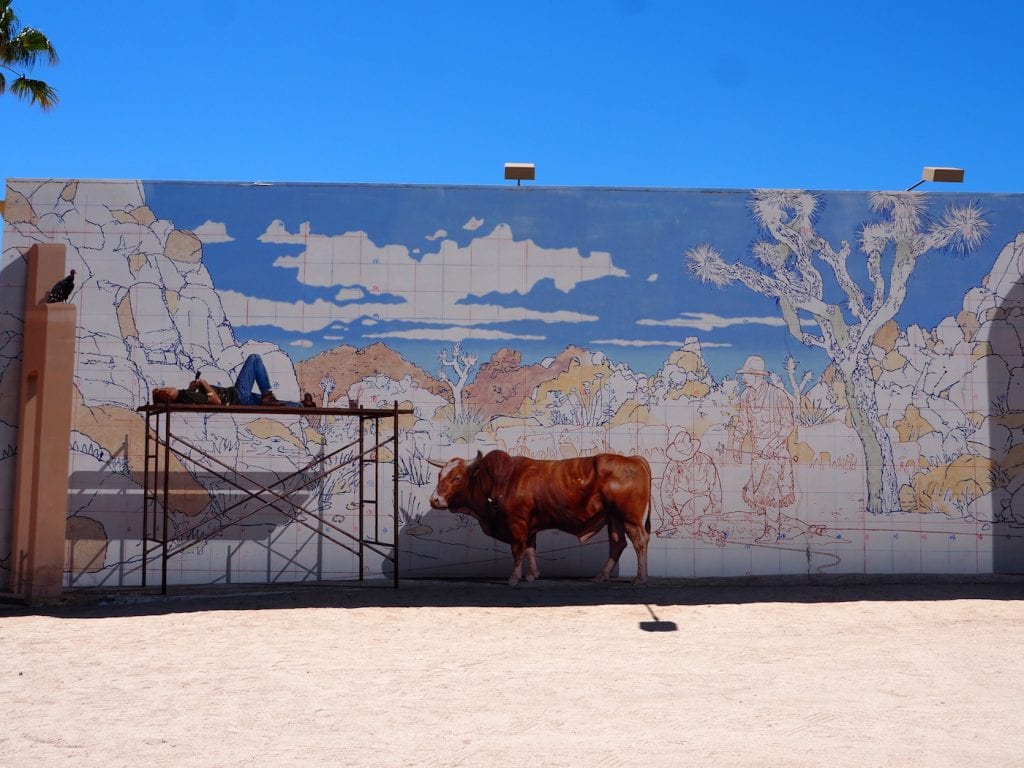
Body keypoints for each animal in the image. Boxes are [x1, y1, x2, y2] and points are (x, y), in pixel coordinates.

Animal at [428, 448, 651, 585]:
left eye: (457, 477)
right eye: (439, 476)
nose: (434, 500)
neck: (499, 481)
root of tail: (633, 458)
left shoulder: (517, 523)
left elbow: (517, 550)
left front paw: (514, 578)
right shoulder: (530, 526)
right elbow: (530, 549)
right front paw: (532, 575)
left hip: (630, 518)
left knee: (639, 542)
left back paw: (640, 578)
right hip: (614, 518)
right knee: (617, 543)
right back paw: (601, 576)